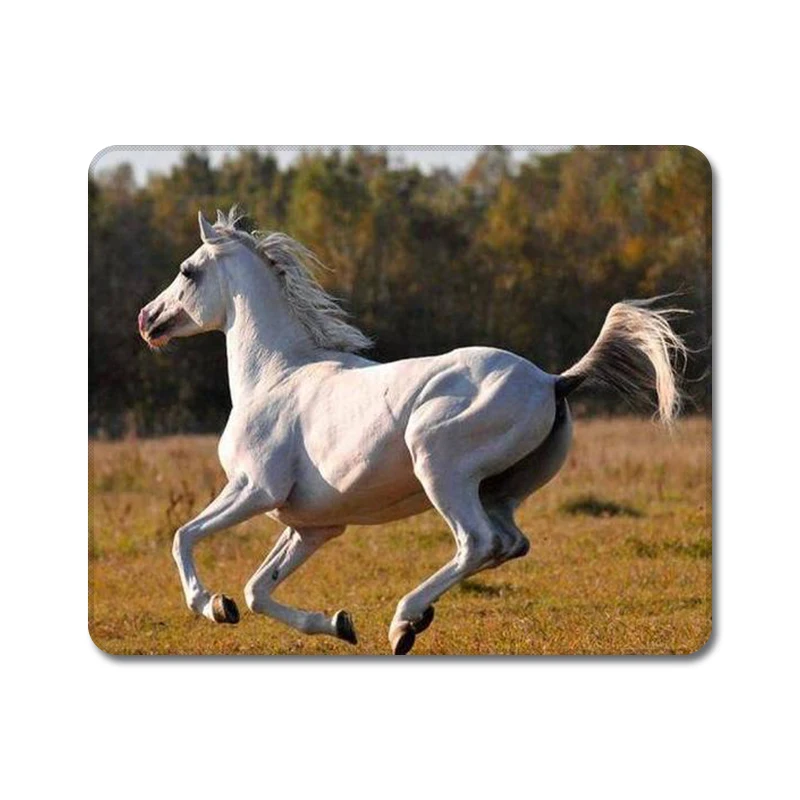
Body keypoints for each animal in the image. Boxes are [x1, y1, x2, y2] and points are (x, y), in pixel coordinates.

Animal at [137, 209, 687, 654]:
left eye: (187, 271)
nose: (147, 320)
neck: (276, 375)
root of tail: (554, 380)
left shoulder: (253, 489)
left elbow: (184, 536)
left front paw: (210, 603)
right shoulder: (313, 526)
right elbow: (257, 591)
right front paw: (337, 624)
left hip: (440, 470)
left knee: (478, 543)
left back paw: (403, 623)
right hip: (499, 491)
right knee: (510, 543)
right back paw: (416, 619)